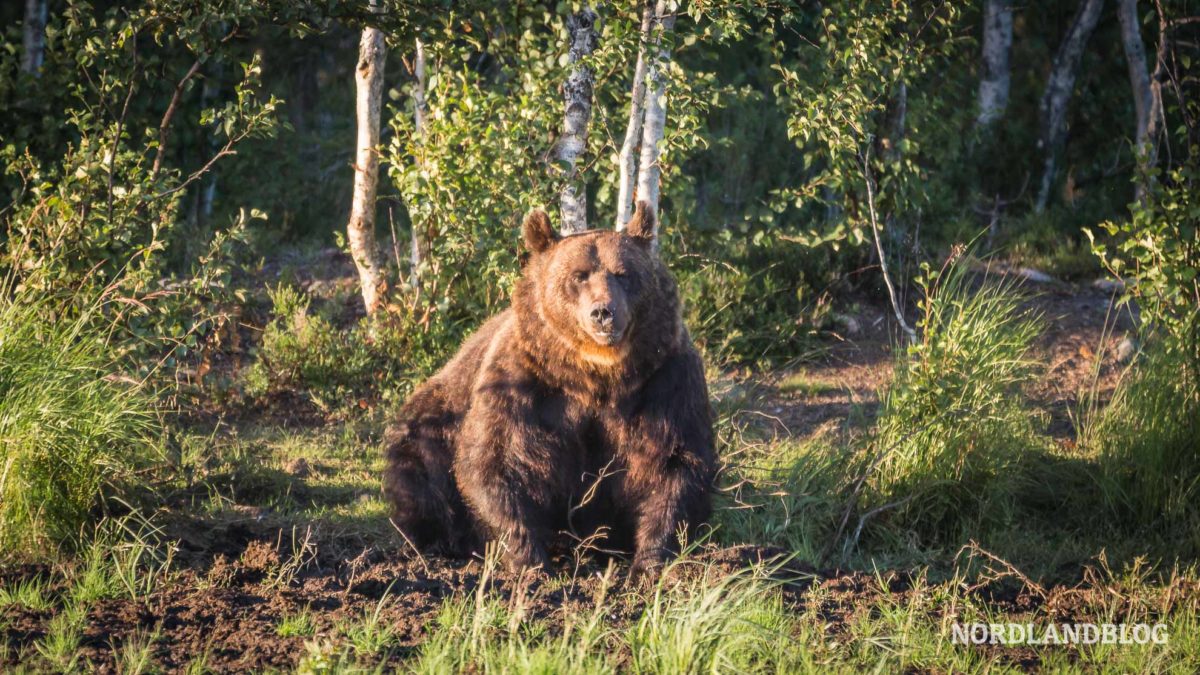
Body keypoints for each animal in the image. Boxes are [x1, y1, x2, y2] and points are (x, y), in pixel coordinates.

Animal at [381, 199, 710, 571]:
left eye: (623, 274)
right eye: (579, 276)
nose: (603, 312)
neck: (596, 375)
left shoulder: (664, 381)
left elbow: (675, 462)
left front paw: (650, 561)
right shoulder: (523, 384)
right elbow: (496, 462)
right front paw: (530, 561)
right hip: (432, 420)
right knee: (422, 477)